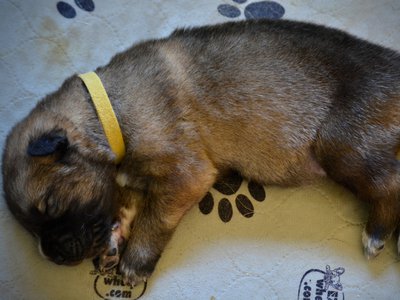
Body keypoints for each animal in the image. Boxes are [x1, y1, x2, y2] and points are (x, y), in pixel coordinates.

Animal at [2, 19, 400, 284]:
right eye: (30, 227)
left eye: (51, 204)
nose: (53, 256)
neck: (106, 112)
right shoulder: (133, 180)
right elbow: (127, 202)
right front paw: (114, 240)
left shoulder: (185, 173)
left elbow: (155, 217)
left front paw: (135, 261)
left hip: (344, 144)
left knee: (390, 183)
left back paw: (376, 233)